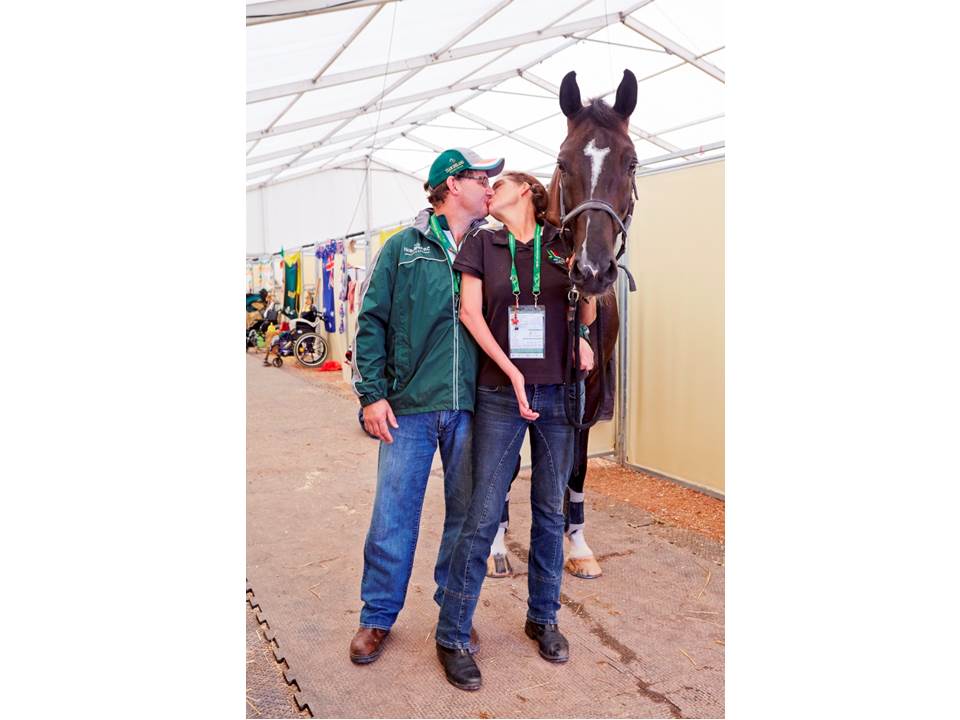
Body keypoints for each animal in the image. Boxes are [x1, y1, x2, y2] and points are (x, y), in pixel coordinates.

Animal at [488, 69, 636, 580]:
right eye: (562, 162)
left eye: (632, 163)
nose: (591, 270)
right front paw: (496, 545)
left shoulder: (587, 390)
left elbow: (576, 468)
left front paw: (578, 546)